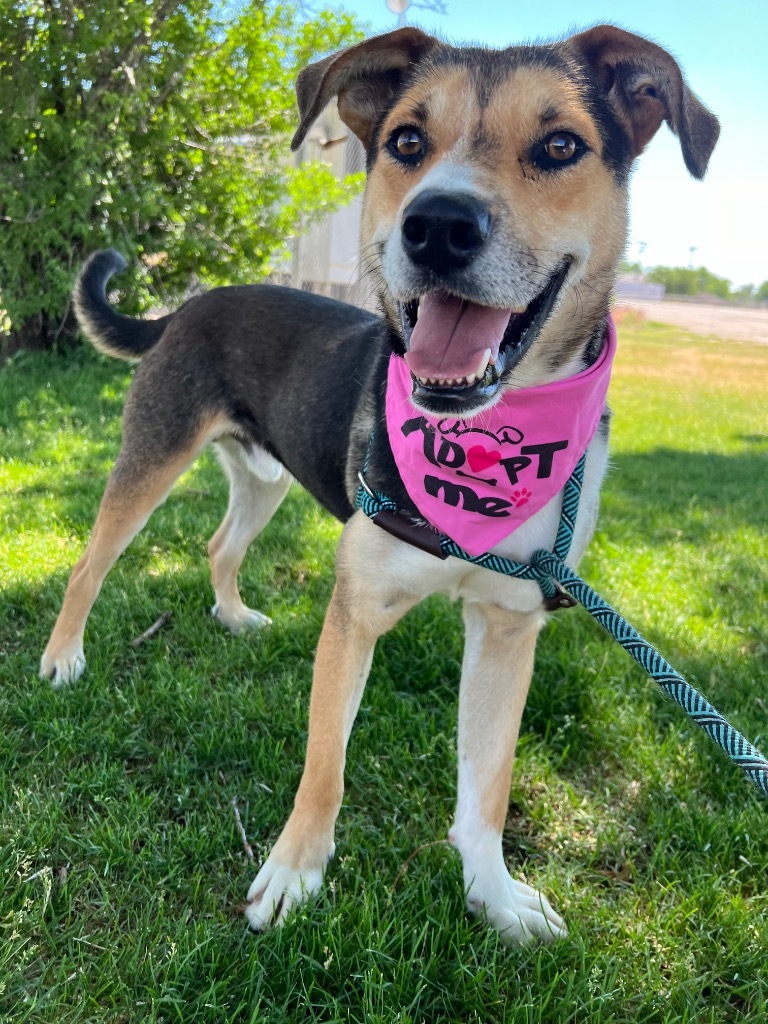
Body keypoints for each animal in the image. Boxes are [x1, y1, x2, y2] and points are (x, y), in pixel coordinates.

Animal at [39, 25, 720, 942]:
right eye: (405, 142)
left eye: (560, 147)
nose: (437, 225)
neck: (481, 451)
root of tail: (186, 306)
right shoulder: (356, 610)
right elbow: (325, 763)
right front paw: (294, 874)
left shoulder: (509, 624)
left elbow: (488, 789)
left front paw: (493, 894)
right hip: (153, 455)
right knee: (90, 563)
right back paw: (63, 658)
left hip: (265, 479)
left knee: (219, 543)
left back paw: (232, 614)